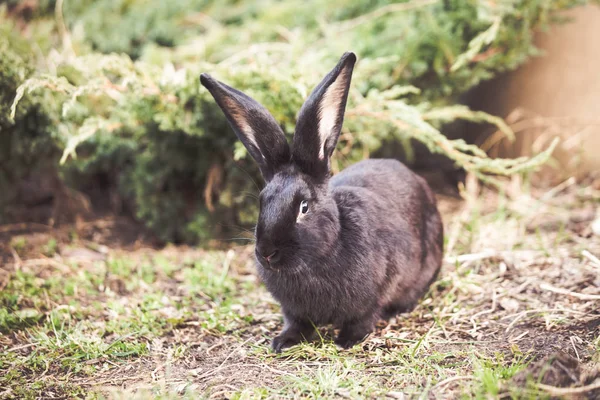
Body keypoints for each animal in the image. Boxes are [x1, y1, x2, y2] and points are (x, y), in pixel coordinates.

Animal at [199, 51, 442, 352]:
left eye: (304, 207)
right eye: (262, 201)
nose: (267, 253)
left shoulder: (376, 291)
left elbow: (364, 318)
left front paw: (347, 340)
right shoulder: (293, 311)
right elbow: (297, 322)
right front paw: (283, 341)